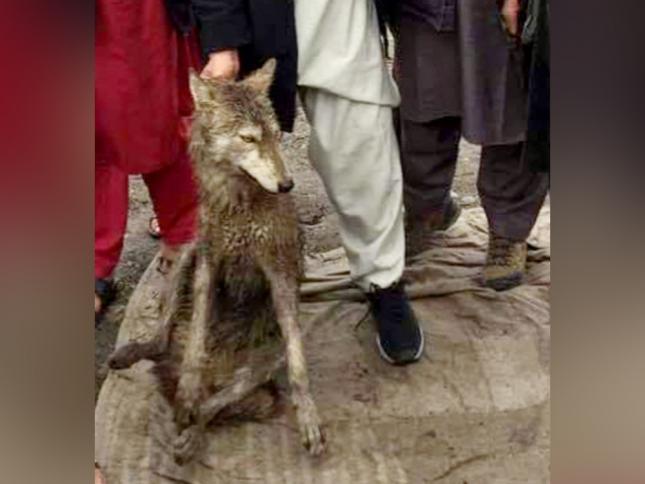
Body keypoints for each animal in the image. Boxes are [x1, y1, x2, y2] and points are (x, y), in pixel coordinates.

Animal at [108, 59, 325, 464]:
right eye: (248, 139)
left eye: (275, 135)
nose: (287, 185)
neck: (238, 203)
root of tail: (219, 373)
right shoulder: (209, 263)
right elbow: (195, 341)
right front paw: (188, 387)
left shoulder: (280, 275)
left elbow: (299, 364)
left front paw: (308, 417)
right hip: (185, 259)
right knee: (162, 341)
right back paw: (139, 359)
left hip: (264, 361)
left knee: (216, 405)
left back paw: (189, 436)